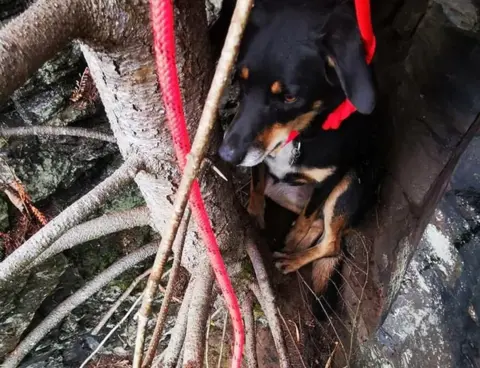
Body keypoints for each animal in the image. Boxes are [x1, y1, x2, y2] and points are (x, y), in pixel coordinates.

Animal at [218, 0, 378, 294]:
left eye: (289, 97)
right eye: (240, 80)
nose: (227, 154)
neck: (299, 136)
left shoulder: (330, 180)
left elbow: (306, 215)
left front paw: (292, 241)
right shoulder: (260, 160)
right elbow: (256, 189)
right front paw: (254, 219)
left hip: (351, 184)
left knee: (331, 242)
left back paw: (292, 258)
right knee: (319, 227)